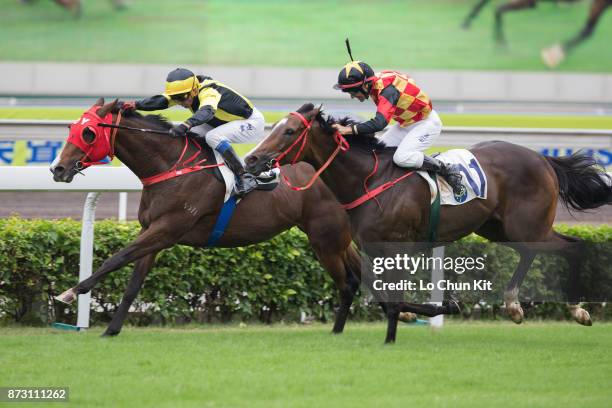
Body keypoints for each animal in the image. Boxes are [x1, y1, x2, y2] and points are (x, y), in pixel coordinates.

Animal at [52, 98, 364, 334]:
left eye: (89, 133)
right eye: (71, 128)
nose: (57, 169)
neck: (172, 166)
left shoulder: (167, 229)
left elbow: (116, 258)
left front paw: (69, 292)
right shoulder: (151, 231)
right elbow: (133, 284)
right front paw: (111, 330)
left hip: (325, 239)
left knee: (348, 282)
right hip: (336, 238)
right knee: (358, 273)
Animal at [245, 103, 612, 342]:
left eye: (289, 131)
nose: (251, 158)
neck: (369, 179)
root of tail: (543, 158)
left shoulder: (397, 248)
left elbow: (391, 295)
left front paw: (395, 334)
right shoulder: (372, 249)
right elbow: (375, 291)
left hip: (526, 227)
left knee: (571, 247)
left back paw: (573, 310)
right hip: (497, 228)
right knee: (535, 252)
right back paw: (516, 306)